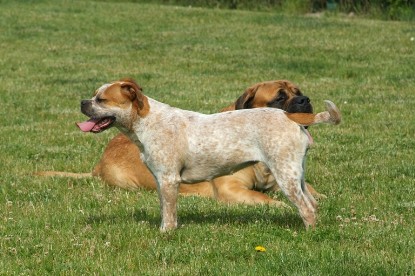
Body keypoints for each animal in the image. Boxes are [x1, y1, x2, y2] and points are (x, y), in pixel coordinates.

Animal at [38, 80, 324, 205]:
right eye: (280, 97)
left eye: (298, 92)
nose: (306, 99)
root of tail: (98, 164)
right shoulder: (232, 189)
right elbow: (264, 199)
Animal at [76, 77, 340, 231]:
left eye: (101, 99)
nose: (82, 102)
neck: (148, 121)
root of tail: (291, 118)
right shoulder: (161, 181)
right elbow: (166, 209)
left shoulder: (169, 180)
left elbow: (168, 215)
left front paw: (165, 234)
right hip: (297, 176)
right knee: (313, 204)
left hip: (286, 177)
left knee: (306, 208)